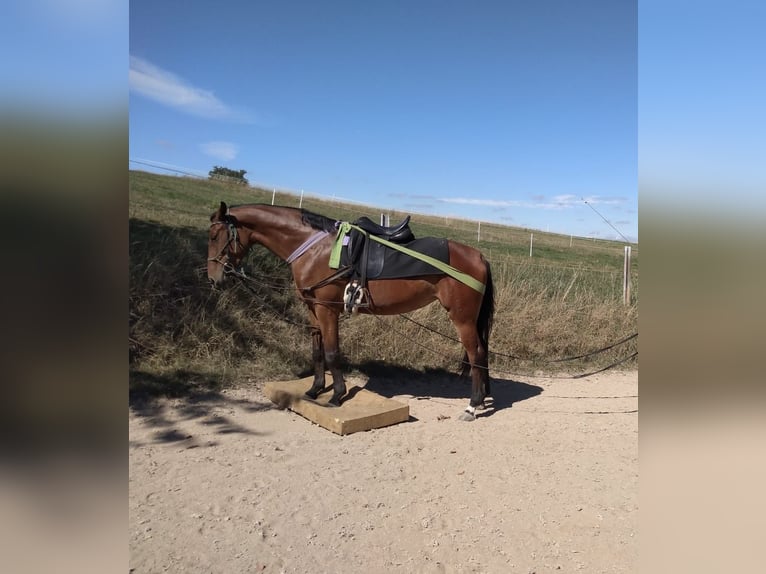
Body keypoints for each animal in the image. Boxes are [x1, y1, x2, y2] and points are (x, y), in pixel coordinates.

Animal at [207, 201, 495, 421]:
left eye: (214, 236)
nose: (214, 278)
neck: (314, 248)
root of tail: (479, 255)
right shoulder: (312, 309)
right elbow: (317, 351)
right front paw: (314, 390)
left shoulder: (327, 310)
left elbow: (332, 352)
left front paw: (336, 395)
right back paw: (481, 400)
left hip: (462, 318)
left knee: (477, 354)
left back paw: (472, 406)